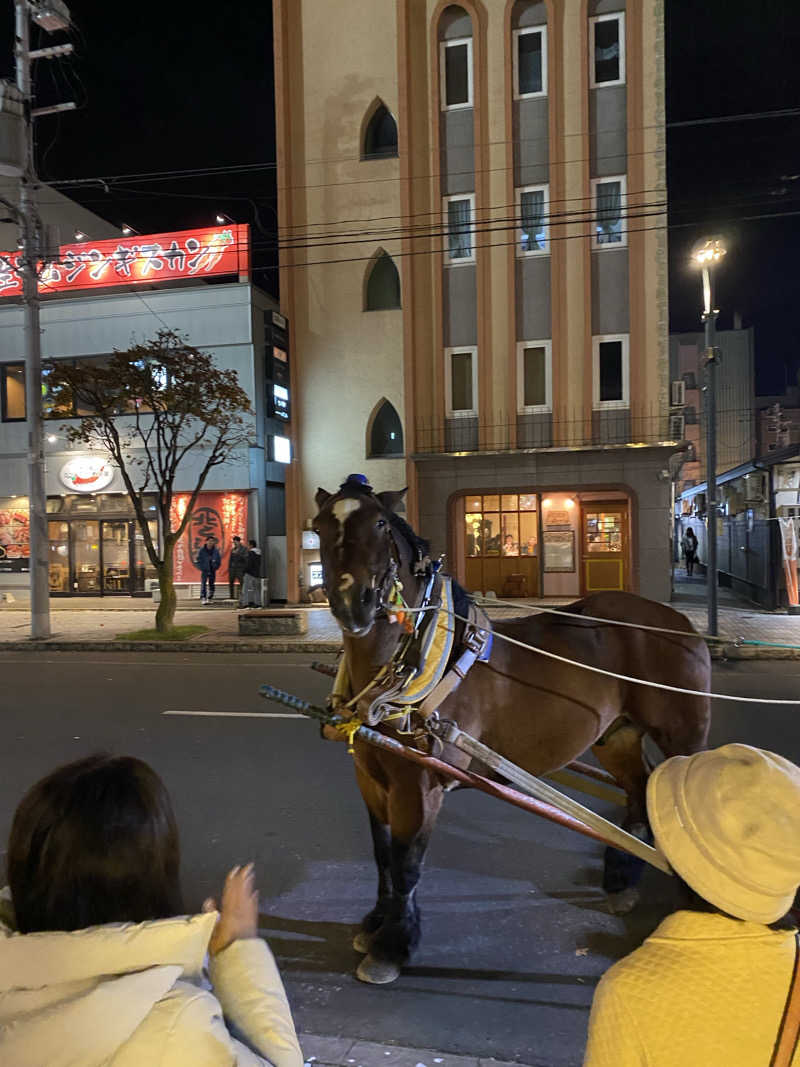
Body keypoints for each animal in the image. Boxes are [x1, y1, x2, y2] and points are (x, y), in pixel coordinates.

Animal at [315, 478, 712, 981]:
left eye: (381, 523)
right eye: (319, 525)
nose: (353, 604)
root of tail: (679, 622)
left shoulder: (417, 784)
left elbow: (406, 865)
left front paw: (392, 946)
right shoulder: (371, 778)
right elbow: (383, 855)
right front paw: (375, 924)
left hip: (682, 737)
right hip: (616, 735)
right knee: (639, 793)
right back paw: (621, 880)